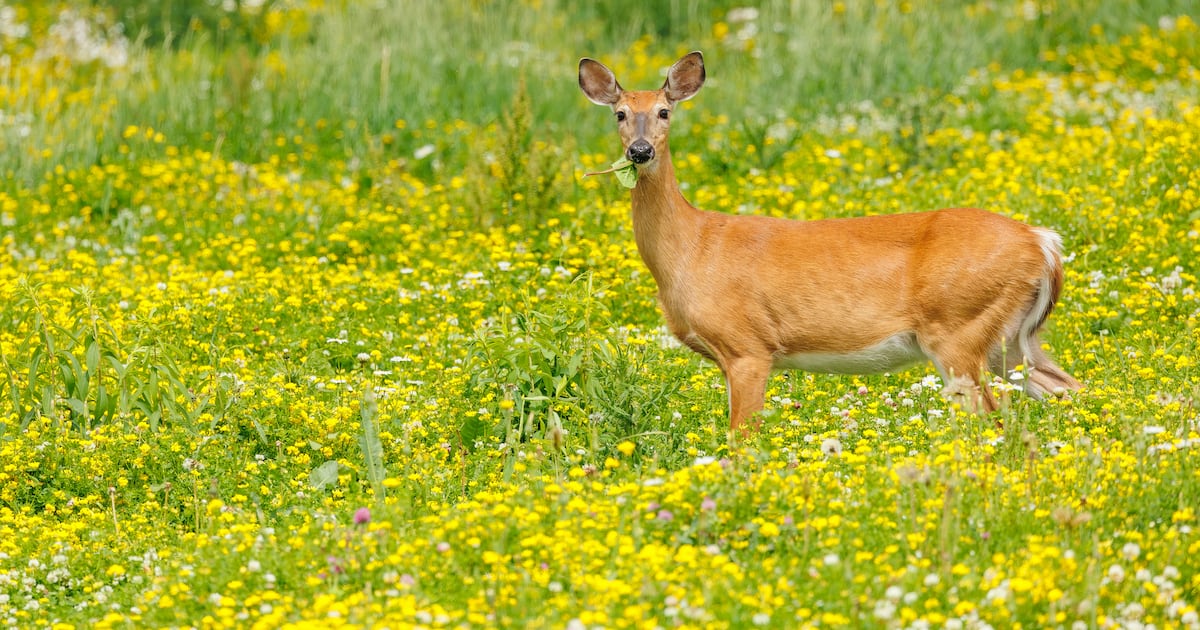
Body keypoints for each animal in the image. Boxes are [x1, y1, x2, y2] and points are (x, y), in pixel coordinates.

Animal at [578, 51, 1082, 436]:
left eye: (665, 112)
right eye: (620, 114)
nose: (640, 151)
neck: (691, 248)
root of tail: (1043, 242)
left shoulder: (748, 346)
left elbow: (742, 441)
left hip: (960, 326)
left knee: (994, 418)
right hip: (1011, 339)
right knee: (1069, 389)